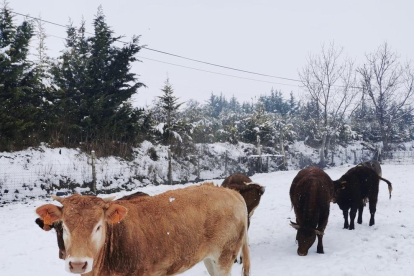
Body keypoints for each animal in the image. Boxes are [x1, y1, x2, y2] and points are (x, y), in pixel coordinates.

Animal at [35, 183, 251, 276]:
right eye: (63, 226)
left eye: (98, 226)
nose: (78, 264)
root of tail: (231, 192)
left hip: (225, 257)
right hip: (210, 259)